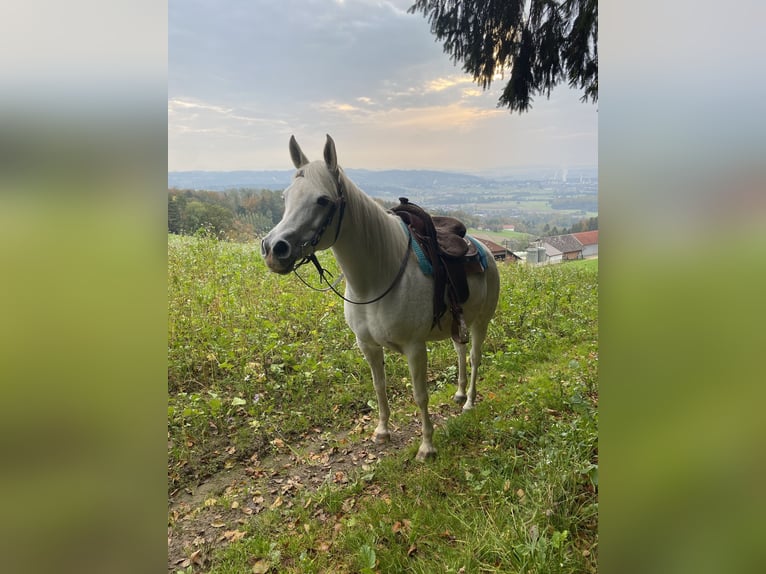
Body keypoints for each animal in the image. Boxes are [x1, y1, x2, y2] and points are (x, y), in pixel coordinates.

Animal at [262, 136, 504, 464]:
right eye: (286, 196)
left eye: (322, 200)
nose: (274, 248)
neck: (376, 280)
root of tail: (485, 250)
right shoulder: (368, 346)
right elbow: (379, 386)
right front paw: (382, 431)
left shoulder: (415, 348)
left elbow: (420, 395)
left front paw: (427, 447)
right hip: (458, 325)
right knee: (460, 353)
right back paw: (459, 394)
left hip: (481, 322)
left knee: (475, 358)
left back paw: (469, 403)